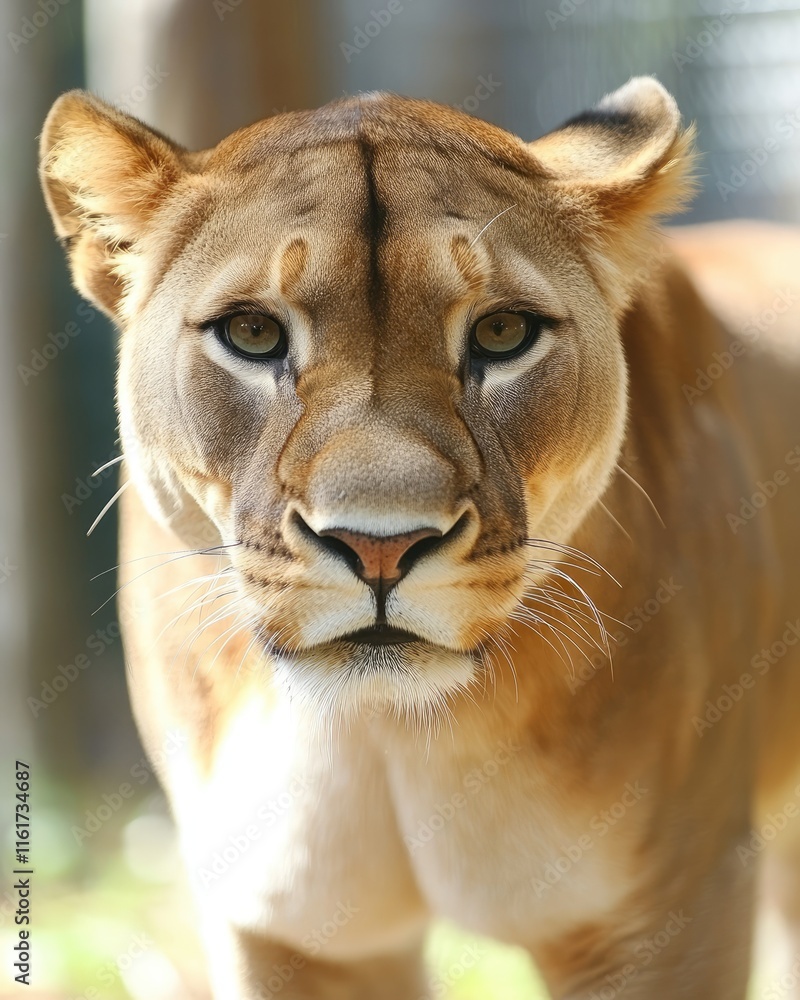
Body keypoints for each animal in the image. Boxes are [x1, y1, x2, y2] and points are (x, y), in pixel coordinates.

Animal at [40, 76, 800, 998]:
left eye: (503, 333)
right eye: (252, 334)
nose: (379, 548)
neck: (385, 733)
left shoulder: (665, 914)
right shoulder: (296, 933)